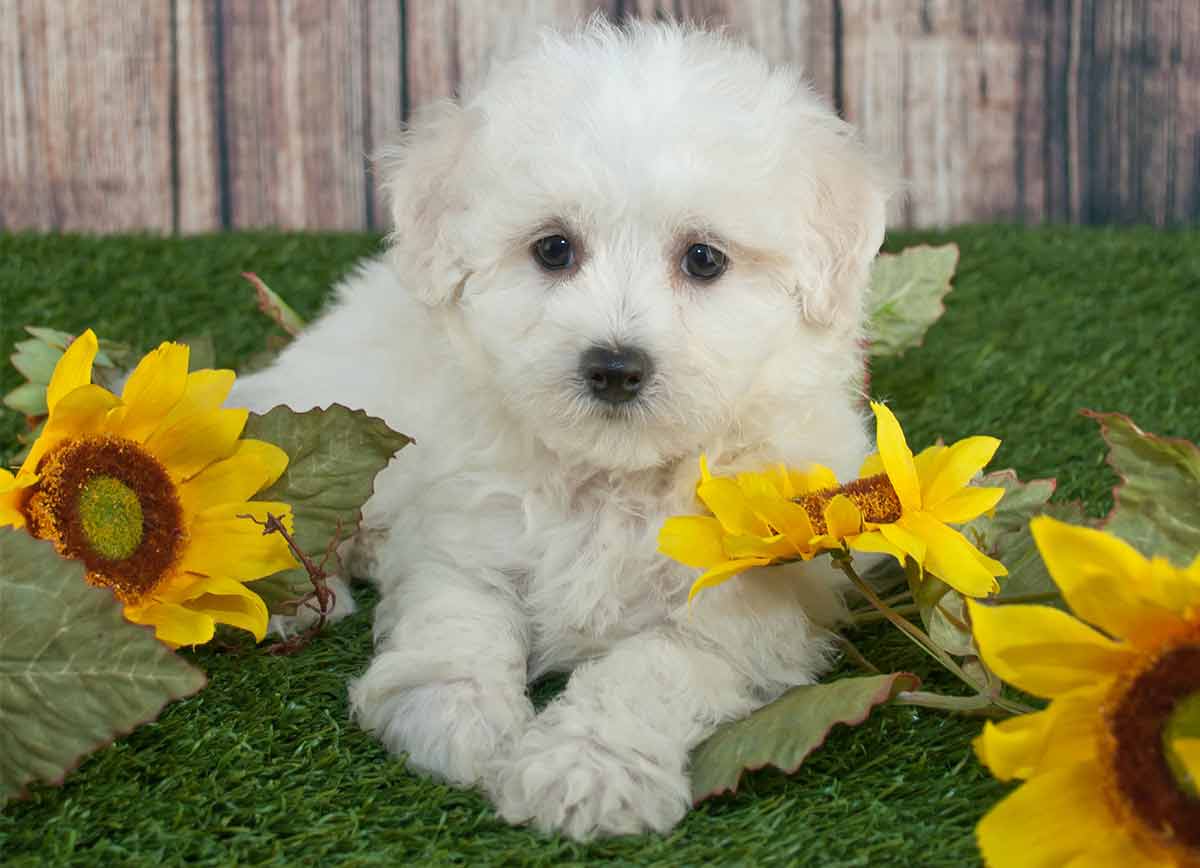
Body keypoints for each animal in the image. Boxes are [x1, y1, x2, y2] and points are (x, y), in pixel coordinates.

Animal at [234, 18, 892, 840]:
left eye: (704, 259)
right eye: (553, 249)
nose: (614, 366)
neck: (614, 476)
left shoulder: (746, 607)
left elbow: (650, 670)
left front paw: (585, 768)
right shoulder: (462, 530)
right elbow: (459, 613)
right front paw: (452, 712)